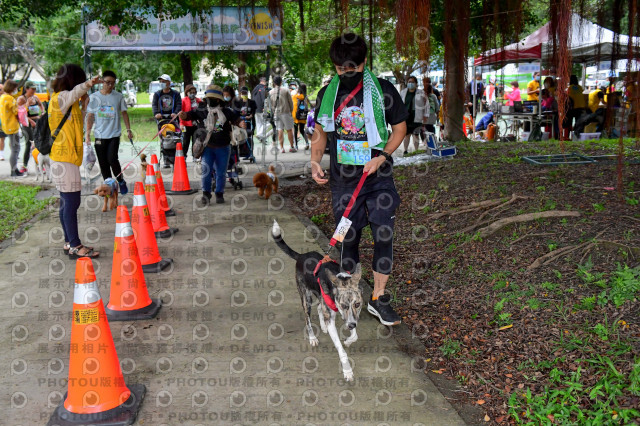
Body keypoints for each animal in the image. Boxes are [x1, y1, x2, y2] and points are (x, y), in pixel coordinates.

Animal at [270, 221, 362, 382]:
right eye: (344, 305)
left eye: (357, 304)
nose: (351, 325)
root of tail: (301, 256)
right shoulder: (336, 316)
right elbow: (341, 348)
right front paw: (347, 370)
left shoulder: (350, 315)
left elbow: (354, 334)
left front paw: (349, 340)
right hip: (305, 298)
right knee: (307, 319)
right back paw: (313, 337)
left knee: (319, 307)